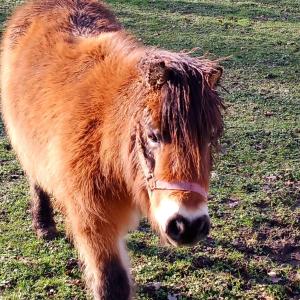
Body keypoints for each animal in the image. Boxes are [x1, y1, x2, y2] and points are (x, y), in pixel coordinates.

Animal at [1, 0, 224, 298]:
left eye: (211, 137)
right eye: (153, 135)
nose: (188, 225)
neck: (105, 134)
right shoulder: (94, 220)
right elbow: (112, 283)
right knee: (36, 178)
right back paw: (44, 225)